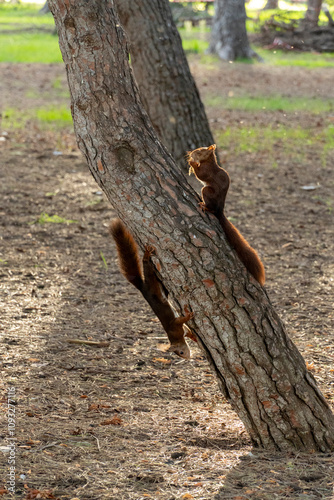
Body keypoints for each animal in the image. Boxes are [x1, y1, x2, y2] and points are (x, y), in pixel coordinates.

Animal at [109, 220, 196, 360]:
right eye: (181, 353)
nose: (188, 358)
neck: (174, 337)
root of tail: (142, 287)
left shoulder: (176, 327)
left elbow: (184, 326)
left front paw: (192, 330)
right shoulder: (176, 327)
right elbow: (184, 326)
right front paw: (191, 327)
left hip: (151, 279)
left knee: (147, 267)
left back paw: (146, 255)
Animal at [189, 144, 264, 286]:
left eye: (200, 151)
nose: (190, 153)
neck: (209, 161)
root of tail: (220, 210)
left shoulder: (207, 171)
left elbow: (200, 175)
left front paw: (191, 163)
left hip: (207, 191)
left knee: (210, 206)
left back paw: (205, 206)